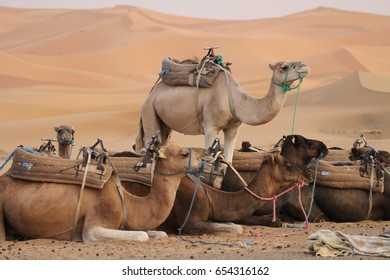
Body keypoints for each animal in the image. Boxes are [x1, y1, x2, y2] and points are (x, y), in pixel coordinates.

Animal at [0, 143, 212, 242]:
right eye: (184, 153)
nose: (207, 154)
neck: (127, 201)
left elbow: (159, 233)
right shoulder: (94, 226)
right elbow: (141, 235)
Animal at [136, 61, 310, 162]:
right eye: (284, 67)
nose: (305, 66)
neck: (235, 100)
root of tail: (151, 94)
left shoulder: (233, 129)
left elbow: (228, 160)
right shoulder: (210, 127)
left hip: (164, 125)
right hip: (149, 111)